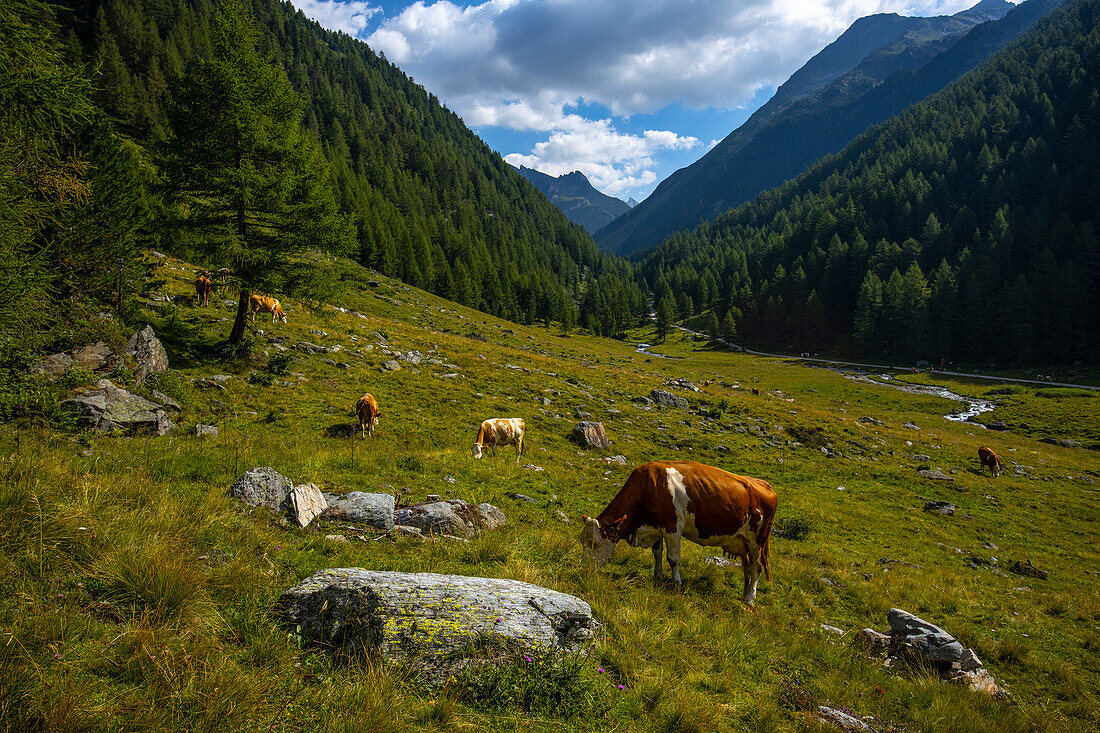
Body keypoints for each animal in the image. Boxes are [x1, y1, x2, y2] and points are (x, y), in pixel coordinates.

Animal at [580, 460, 778, 603]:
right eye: (583, 542)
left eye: (595, 544)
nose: (584, 569)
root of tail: (764, 484)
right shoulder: (657, 526)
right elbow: (657, 552)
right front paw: (658, 575)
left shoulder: (672, 527)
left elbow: (673, 559)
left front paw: (677, 583)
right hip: (743, 542)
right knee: (748, 567)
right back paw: (745, 593)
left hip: (757, 540)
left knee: (757, 567)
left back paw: (750, 598)